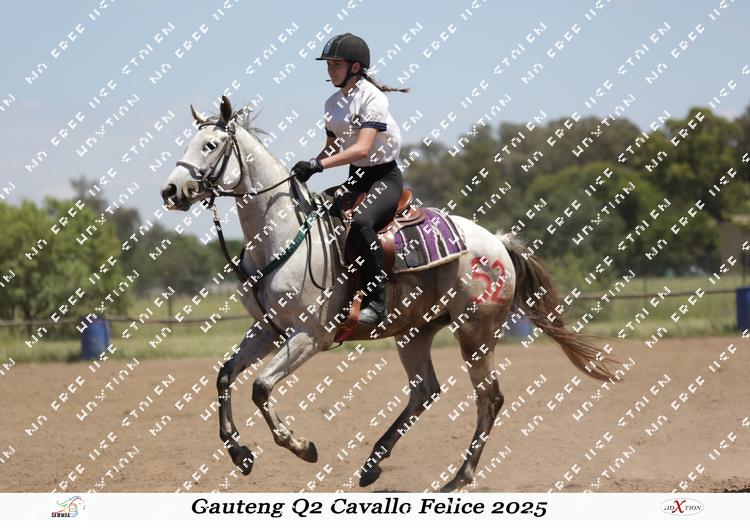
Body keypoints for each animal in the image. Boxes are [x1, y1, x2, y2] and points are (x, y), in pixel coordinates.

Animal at [159, 96, 619, 492]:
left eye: (210, 145)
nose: (171, 191)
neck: (284, 235)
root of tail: (498, 244)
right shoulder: (269, 330)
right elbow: (225, 375)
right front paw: (240, 454)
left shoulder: (310, 335)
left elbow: (259, 387)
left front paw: (301, 447)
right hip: (415, 332)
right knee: (425, 391)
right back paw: (372, 464)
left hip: (475, 333)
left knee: (489, 398)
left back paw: (458, 478)